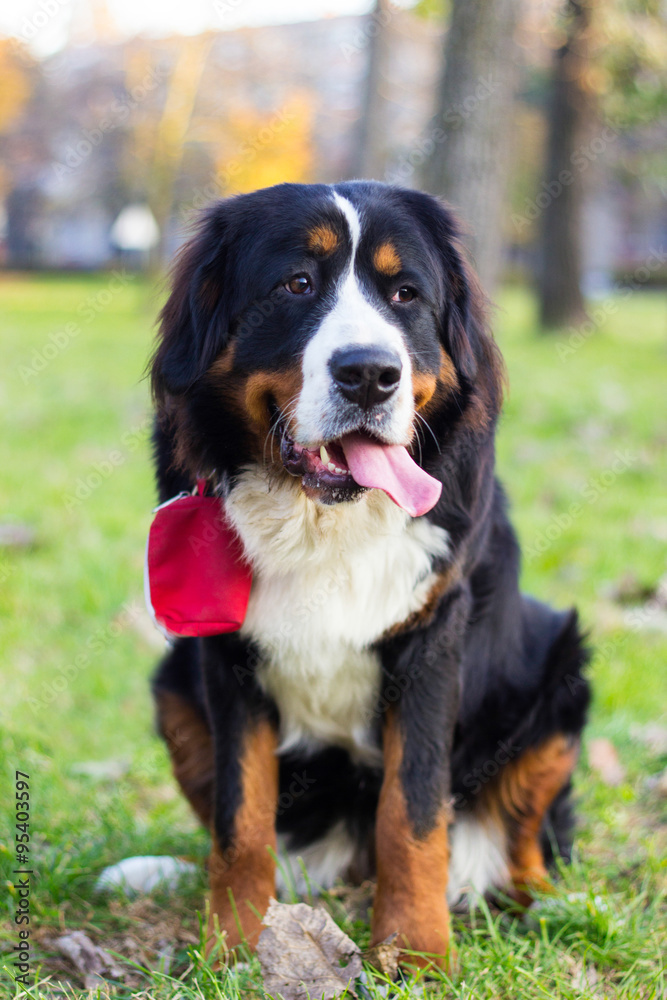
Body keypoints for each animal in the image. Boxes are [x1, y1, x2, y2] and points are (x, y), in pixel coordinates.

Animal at [150, 182, 588, 968]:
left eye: (405, 293)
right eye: (296, 284)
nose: (369, 374)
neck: (322, 521)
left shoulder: (432, 641)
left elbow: (411, 813)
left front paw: (414, 951)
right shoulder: (225, 659)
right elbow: (241, 817)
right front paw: (233, 944)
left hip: (558, 668)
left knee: (526, 834)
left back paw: (541, 903)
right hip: (171, 687)